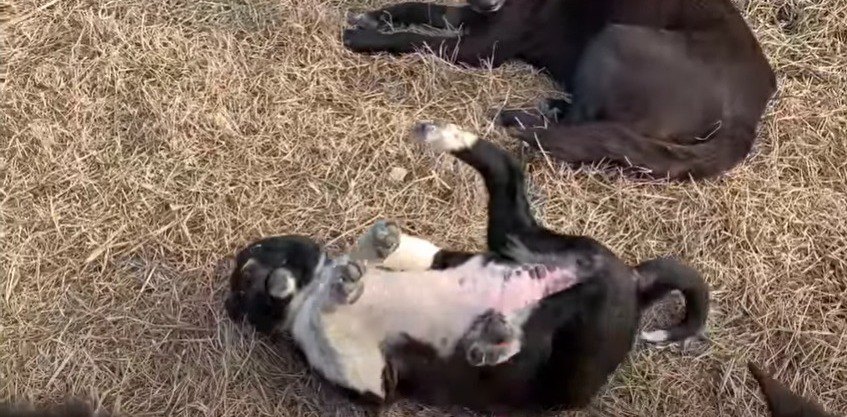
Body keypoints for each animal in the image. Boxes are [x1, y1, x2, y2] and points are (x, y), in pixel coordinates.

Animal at [224, 121, 708, 412]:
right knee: (506, 173)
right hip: (562, 330)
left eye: (261, 254)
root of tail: (636, 283)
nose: (263, 279)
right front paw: (344, 282)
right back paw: (495, 338)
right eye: (246, 288)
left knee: (502, 165)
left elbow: (379, 253)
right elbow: (332, 314)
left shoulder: (428, 257)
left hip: (520, 244)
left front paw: (368, 252)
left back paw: (443, 137)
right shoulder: (373, 382)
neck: (307, 296)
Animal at [342, 0, 776, 179]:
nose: (488, 3)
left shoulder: (483, 46)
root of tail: (750, 108)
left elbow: (415, 39)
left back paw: (525, 121)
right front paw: (378, 15)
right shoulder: (466, 15)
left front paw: (364, 38)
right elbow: (419, 8)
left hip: (614, 40)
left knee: (583, 125)